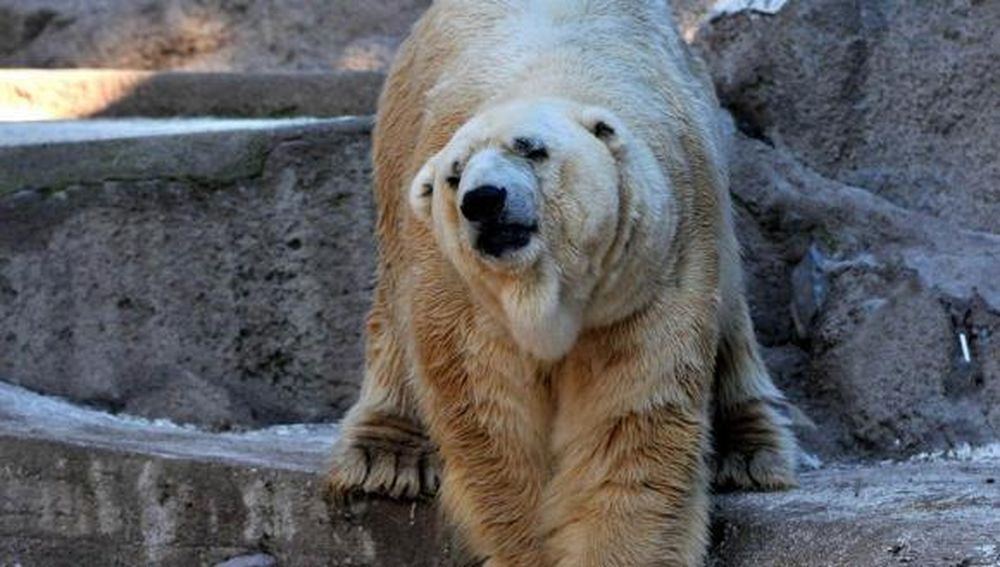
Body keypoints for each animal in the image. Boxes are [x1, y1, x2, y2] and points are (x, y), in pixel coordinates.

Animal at [328, 1, 798, 565]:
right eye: (453, 174)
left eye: (532, 149)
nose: (483, 200)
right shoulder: (464, 295)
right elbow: (497, 429)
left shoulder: (652, 269)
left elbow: (628, 424)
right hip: (396, 152)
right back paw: (385, 458)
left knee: (732, 307)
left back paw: (752, 453)